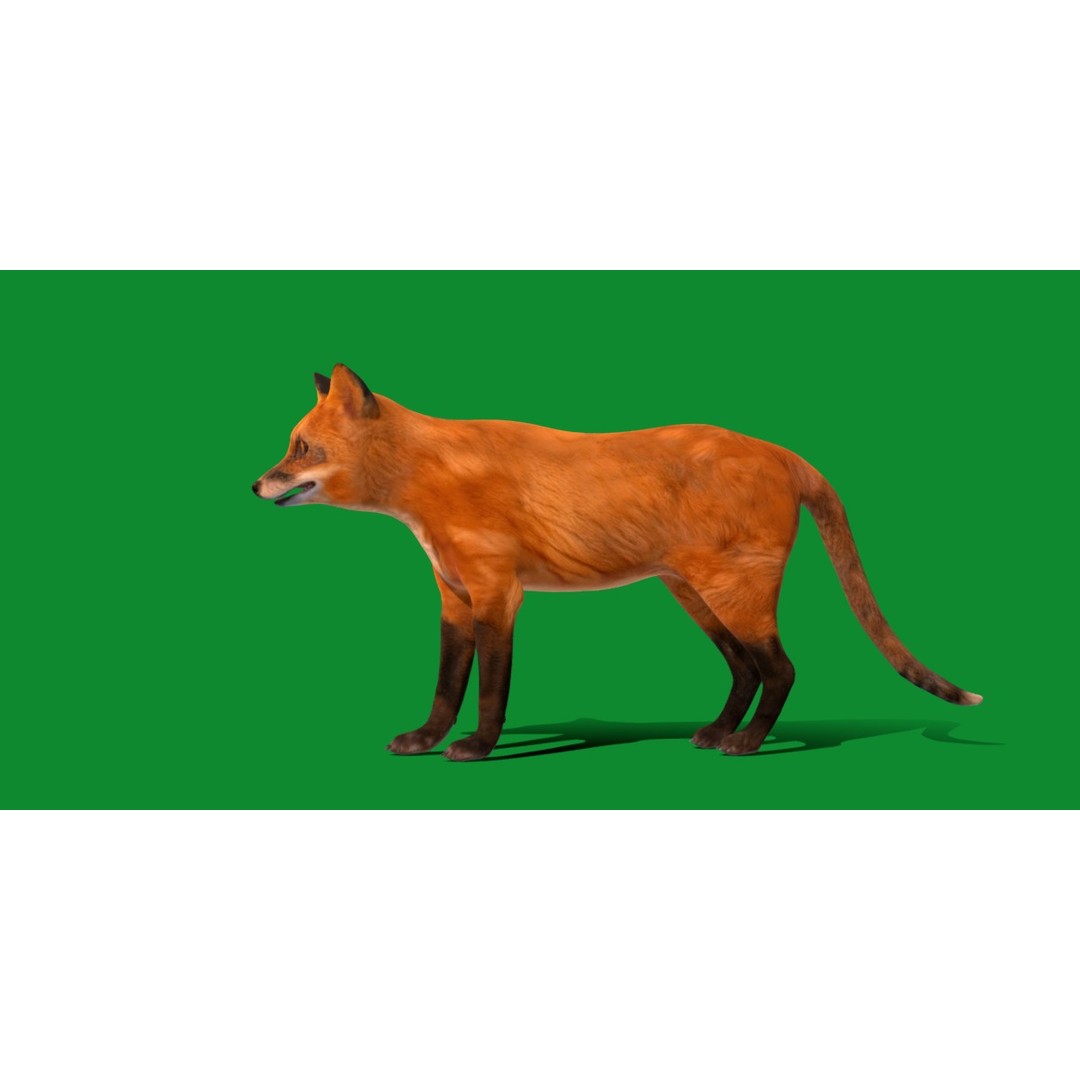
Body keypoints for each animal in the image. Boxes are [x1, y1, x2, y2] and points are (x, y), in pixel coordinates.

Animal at [252, 365, 981, 761]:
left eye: (301, 448)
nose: (254, 485)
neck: (429, 484)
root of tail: (780, 449)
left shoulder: (497, 595)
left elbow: (488, 692)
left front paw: (478, 748)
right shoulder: (453, 596)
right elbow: (445, 686)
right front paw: (427, 739)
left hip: (733, 597)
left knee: (782, 669)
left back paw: (747, 742)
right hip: (695, 597)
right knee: (746, 670)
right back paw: (718, 731)